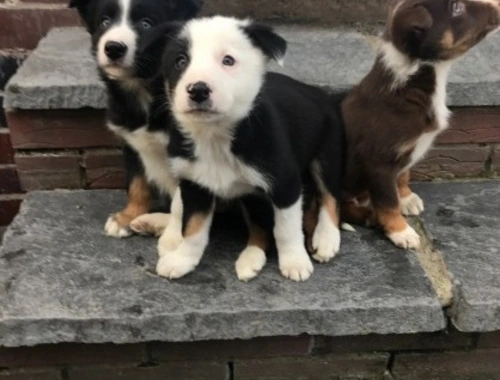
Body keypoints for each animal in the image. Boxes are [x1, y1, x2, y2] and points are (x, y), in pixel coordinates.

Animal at [68, 0, 203, 238]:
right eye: (105, 21)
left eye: (146, 23)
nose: (113, 48)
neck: (143, 90)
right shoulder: (131, 143)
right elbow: (136, 183)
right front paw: (127, 216)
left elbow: (183, 205)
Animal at [145, 16, 346, 280]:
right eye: (180, 61)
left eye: (228, 60)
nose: (198, 90)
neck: (216, 136)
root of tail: (314, 90)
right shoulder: (194, 185)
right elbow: (193, 227)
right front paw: (182, 259)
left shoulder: (285, 183)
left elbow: (286, 229)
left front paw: (295, 261)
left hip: (328, 151)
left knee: (330, 195)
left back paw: (326, 238)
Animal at [340, 0, 500, 249]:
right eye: (457, 8)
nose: (497, 5)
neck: (413, 80)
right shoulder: (379, 163)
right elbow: (388, 201)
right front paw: (401, 231)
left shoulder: (406, 151)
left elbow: (403, 174)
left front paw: (406, 198)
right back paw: (368, 217)